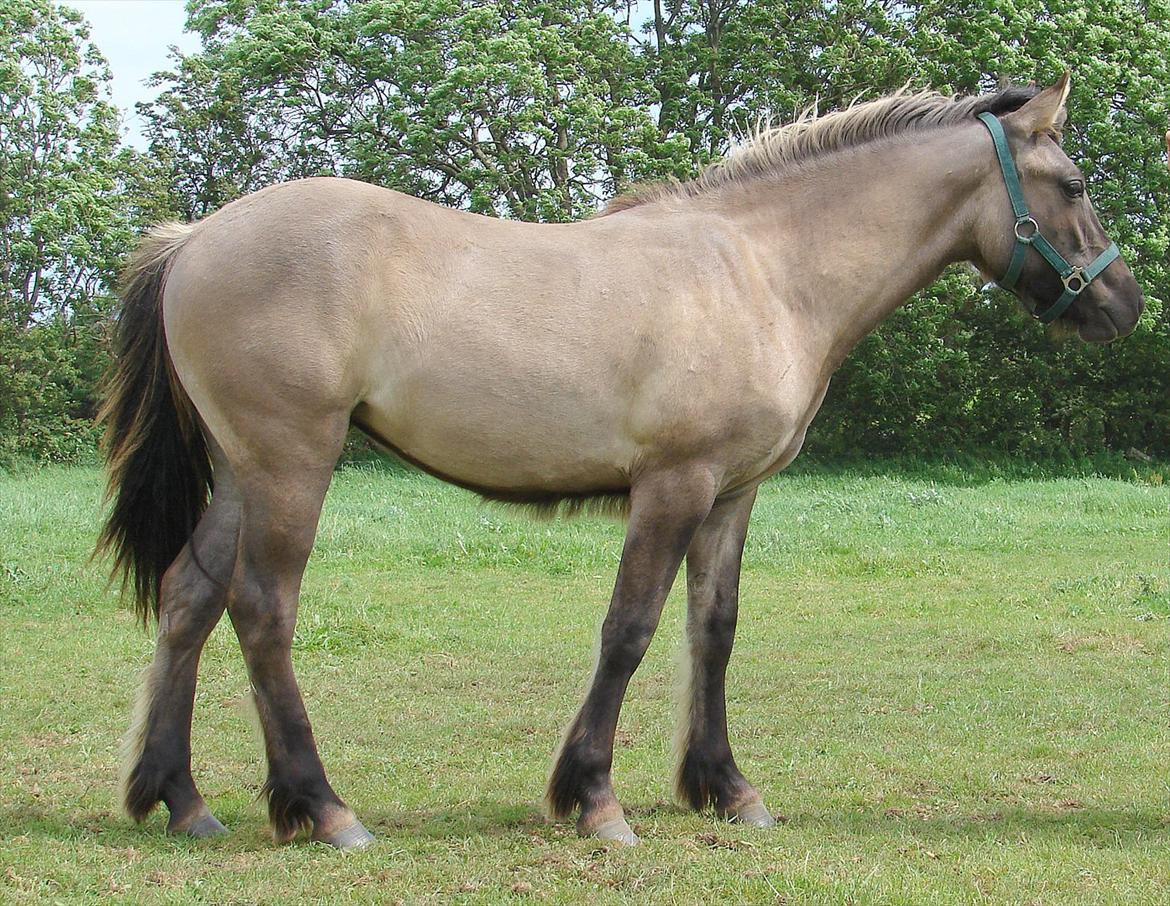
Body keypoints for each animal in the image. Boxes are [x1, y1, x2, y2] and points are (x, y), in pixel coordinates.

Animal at [98, 72, 1141, 852]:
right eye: (1075, 184)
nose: (1124, 304)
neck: (763, 269)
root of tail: (195, 238)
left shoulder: (731, 495)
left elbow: (712, 630)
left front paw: (726, 788)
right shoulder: (673, 486)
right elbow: (629, 631)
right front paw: (594, 799)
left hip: (243, 471)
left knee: (191, 600)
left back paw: (180, 800)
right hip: (292, 462)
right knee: (262, 610)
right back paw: (321, 807)